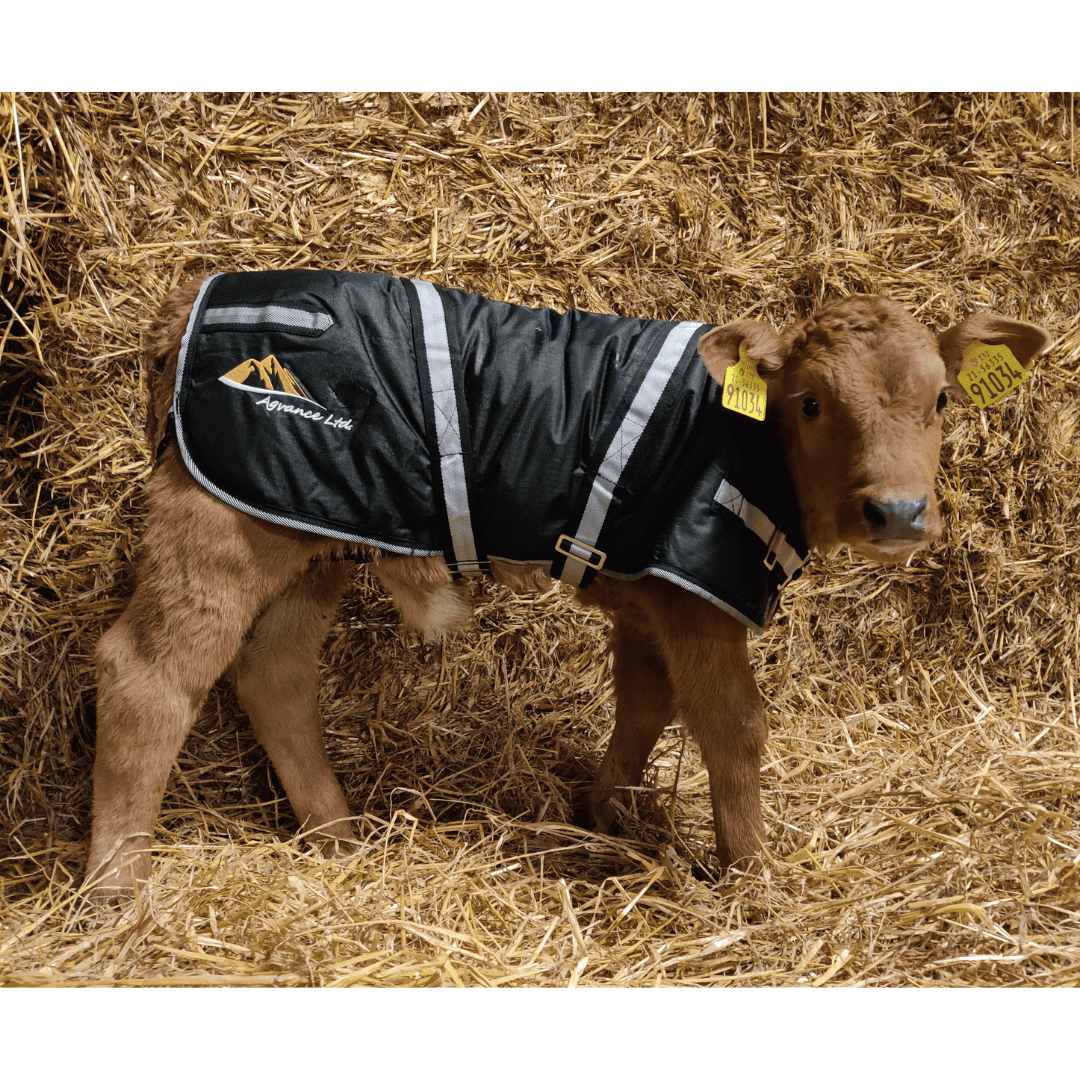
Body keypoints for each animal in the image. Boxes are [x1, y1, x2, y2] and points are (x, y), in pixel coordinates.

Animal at [84, 271, 1050, 901]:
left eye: (941, 401)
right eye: (811, 403)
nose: (899, 510)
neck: (742, 443)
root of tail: (188, 303)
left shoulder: (646, 595)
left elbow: (644, 703)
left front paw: (603, 813)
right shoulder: (698, 598)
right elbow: (733, 727)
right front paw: (750, 877)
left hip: (314, 528)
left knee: (274, 673)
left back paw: (338, 835)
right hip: (224, 522)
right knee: (148, 675)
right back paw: (115, 892)